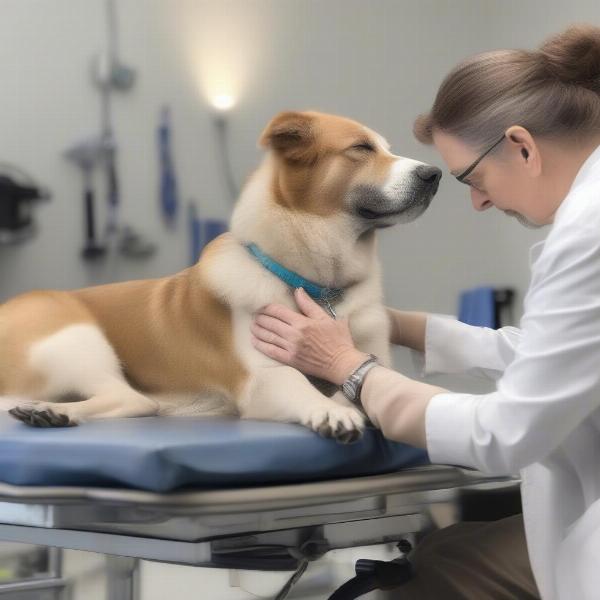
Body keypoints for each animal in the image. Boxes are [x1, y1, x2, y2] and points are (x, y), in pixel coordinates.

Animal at [0, 110, 440, 442]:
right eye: (361, 148)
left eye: (386, 148)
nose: (433, 174)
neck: (318, 286)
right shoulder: (261, 379)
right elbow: (296, 380)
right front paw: (327, 409)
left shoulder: (372, 361)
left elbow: (362, 385)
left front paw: (341, 404)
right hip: (72, 334)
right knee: (132, 399)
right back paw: (51, 411)